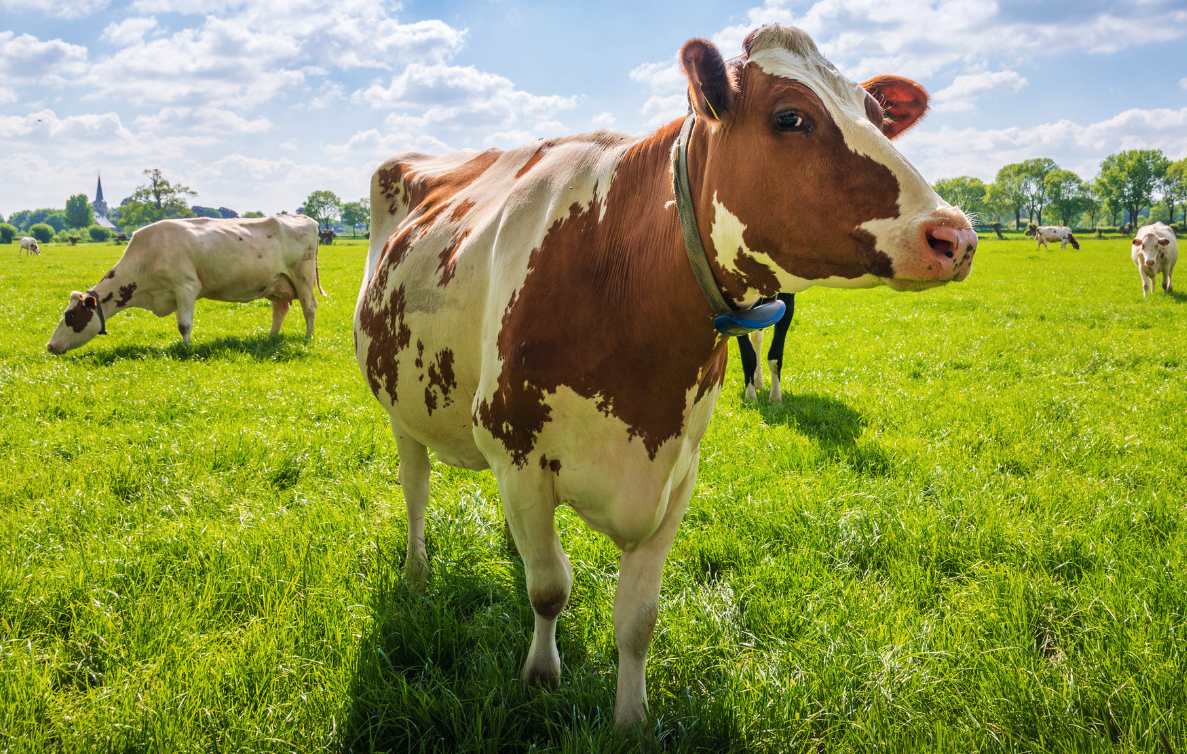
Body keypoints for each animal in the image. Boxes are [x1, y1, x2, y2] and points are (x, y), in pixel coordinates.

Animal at [47, 212, 325, 353]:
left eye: (71, 316)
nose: (50, 345)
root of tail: (305, 218)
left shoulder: (187, 286)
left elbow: (184, 325)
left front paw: (188, 349)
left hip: (302, 278)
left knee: (309, 308)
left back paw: (308, 338)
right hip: (275, 284)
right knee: (280, 310)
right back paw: (270, 337)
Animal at [348, 25, 973, 731]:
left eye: (876, 116)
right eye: (791, 117)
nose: (956, 234)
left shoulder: (676, 471)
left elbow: (637, 619)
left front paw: (630, 719)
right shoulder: (518, 453)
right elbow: (550, 589)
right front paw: (542, 676)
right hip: (400, 409)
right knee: (416, 490)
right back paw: (417, 570)